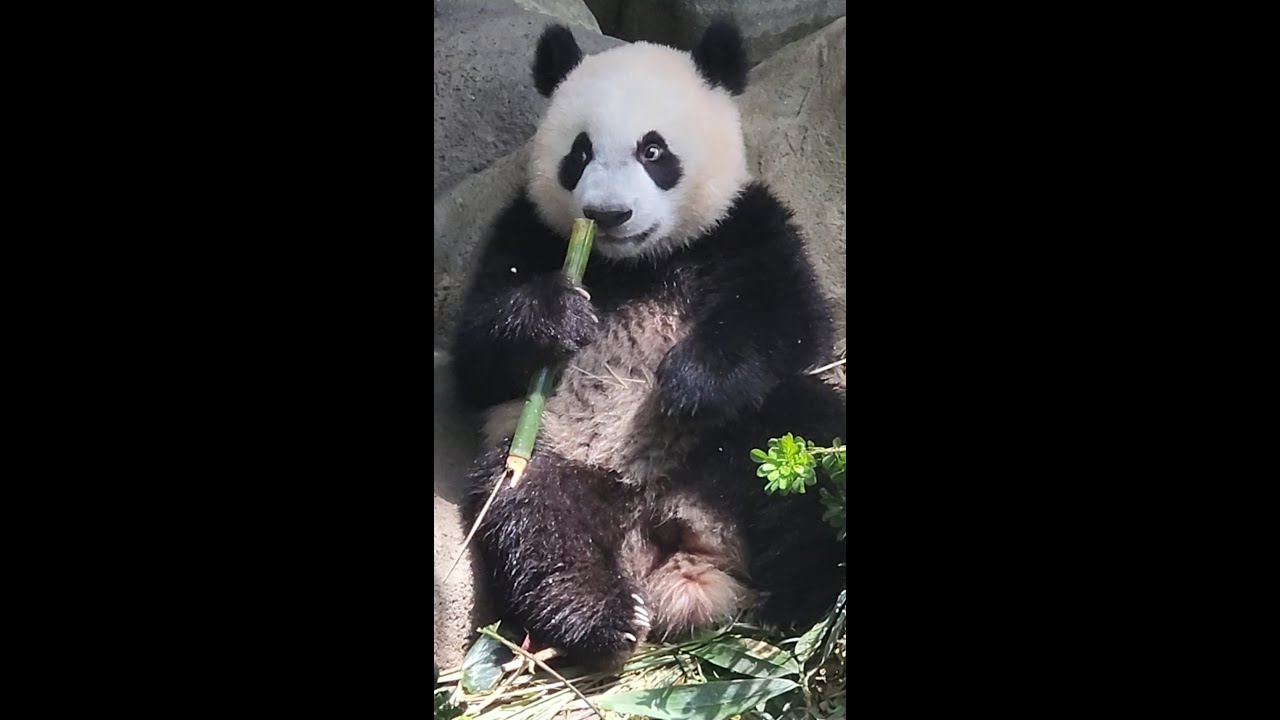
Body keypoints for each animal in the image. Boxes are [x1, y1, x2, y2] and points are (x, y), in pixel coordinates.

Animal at [452, 20, 845, 669]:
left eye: (653, 151)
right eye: (579, 153)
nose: (608, 214)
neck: (636, 262)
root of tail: (675, 527)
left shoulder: (745, 226)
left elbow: (793, 323)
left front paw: (690, 384)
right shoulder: (525, 231)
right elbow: (475, 361)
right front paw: (557, 317)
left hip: (758, 439)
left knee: (811, 443)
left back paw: (802, 597)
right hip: (556, 451)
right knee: (530, 516)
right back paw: (602, 616)